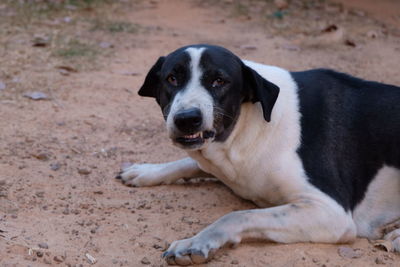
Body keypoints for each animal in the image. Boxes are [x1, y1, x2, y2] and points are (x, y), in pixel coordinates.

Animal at [115, 44, 400, 266]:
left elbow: (239, 214)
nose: (187, 119)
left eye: (219, 81)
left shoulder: (331, 212)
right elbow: (189, 162)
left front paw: (196, 242)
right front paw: (146, 171)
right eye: (172, 79)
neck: (249, 124)